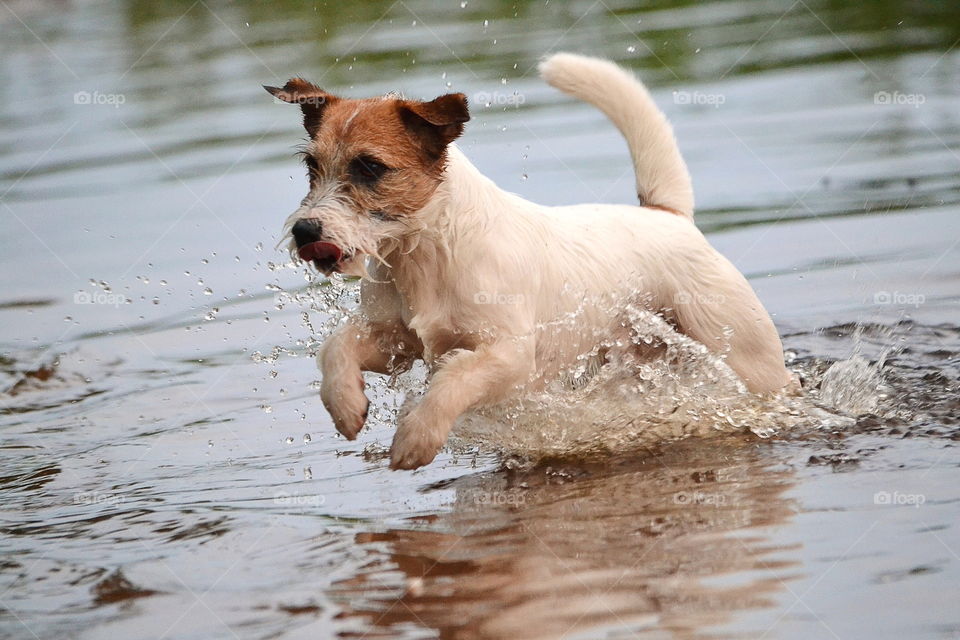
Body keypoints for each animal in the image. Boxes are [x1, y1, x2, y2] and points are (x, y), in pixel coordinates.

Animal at [264, 52, 796, 470]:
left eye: (371, 167)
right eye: (311, 166)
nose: (306, 230)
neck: (427, 255)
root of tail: (668, 216)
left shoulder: (510, 356)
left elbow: (453, 380)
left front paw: (416, 437)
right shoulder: (395, 342)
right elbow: (337, 346)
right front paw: (345, 404)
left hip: (744, 354)